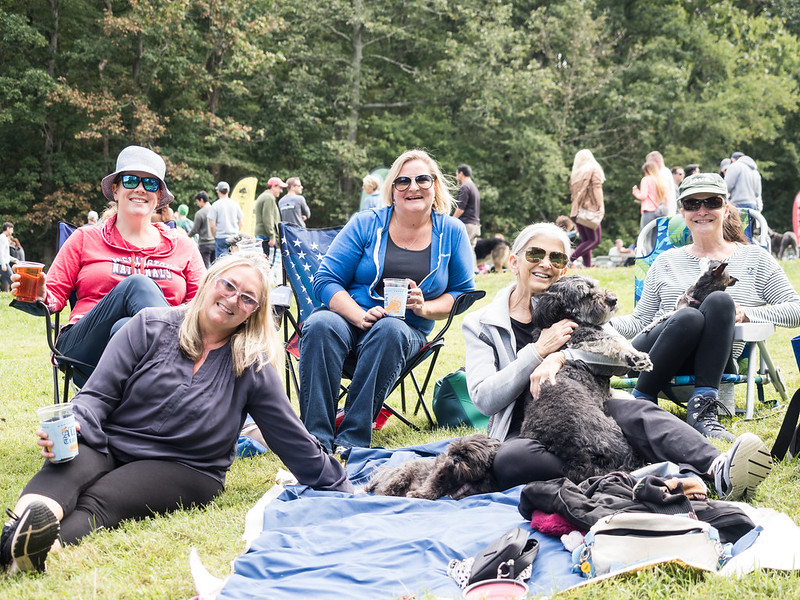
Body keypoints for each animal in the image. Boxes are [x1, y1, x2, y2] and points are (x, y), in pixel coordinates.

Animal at [364, 434, 500, 500]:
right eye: (453, 453)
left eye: (467, 457)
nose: (455, 459)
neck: (460, 478)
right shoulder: (438, 473)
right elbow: (431, 488)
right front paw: (417, 495)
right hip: (401, 476)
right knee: (384, 491)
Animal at [520, 276, 652, 482]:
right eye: (584, 295)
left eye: (595, 286)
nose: (612, 299)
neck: (564, 319)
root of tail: (576, 451)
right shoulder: (584, 337)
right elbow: (614, 341)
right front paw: (637, 358)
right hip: (614, 434)